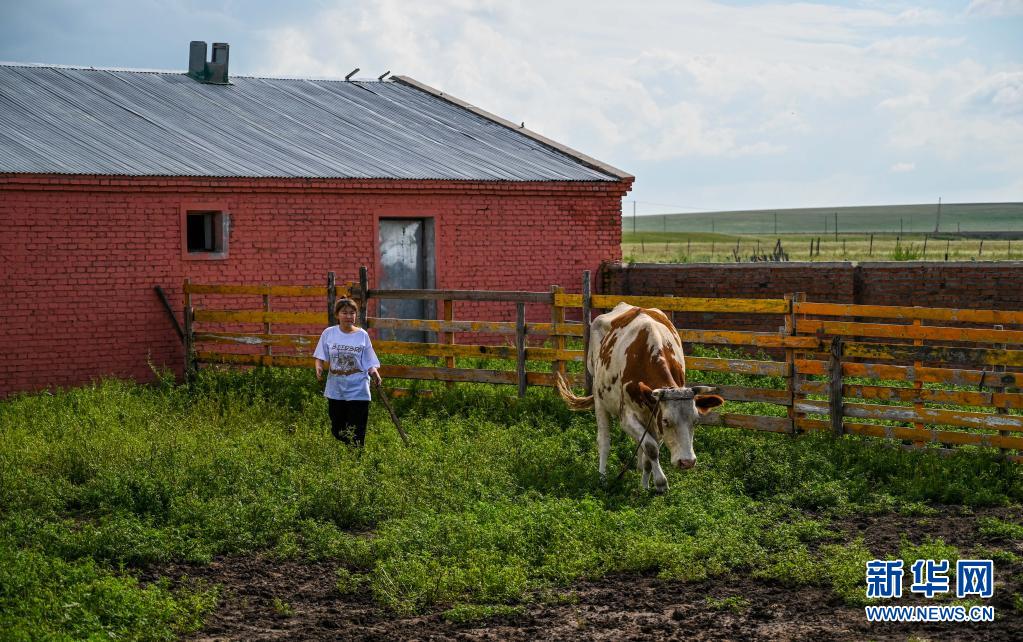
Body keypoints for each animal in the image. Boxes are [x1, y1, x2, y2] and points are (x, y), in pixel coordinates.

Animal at [556, 302, 724, 492]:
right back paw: (602, 478)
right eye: (666, 421)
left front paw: (645, 485)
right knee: (604, 441)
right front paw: (660, 482)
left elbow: (649, 450)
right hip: (600, 399)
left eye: (695, 421)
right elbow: (651, 447)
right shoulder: (629, 416)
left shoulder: (654, 416)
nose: (687, 462)